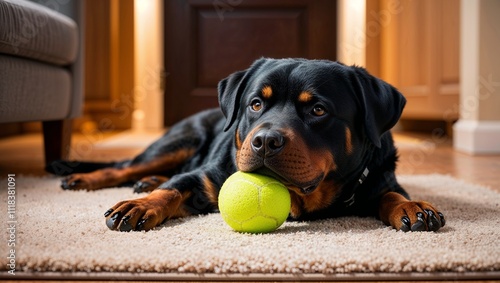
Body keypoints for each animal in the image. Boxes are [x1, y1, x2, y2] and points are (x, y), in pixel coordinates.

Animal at [47, 57, 446, 233]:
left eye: (318, 110)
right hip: (182, 139)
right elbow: (173, 188)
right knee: (127, 166)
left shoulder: (379, 177)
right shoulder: (206, 177)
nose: (265, 141)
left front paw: (412, 205)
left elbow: (390, 192)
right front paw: (142, 203)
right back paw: (95, 180)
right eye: (256, 104)